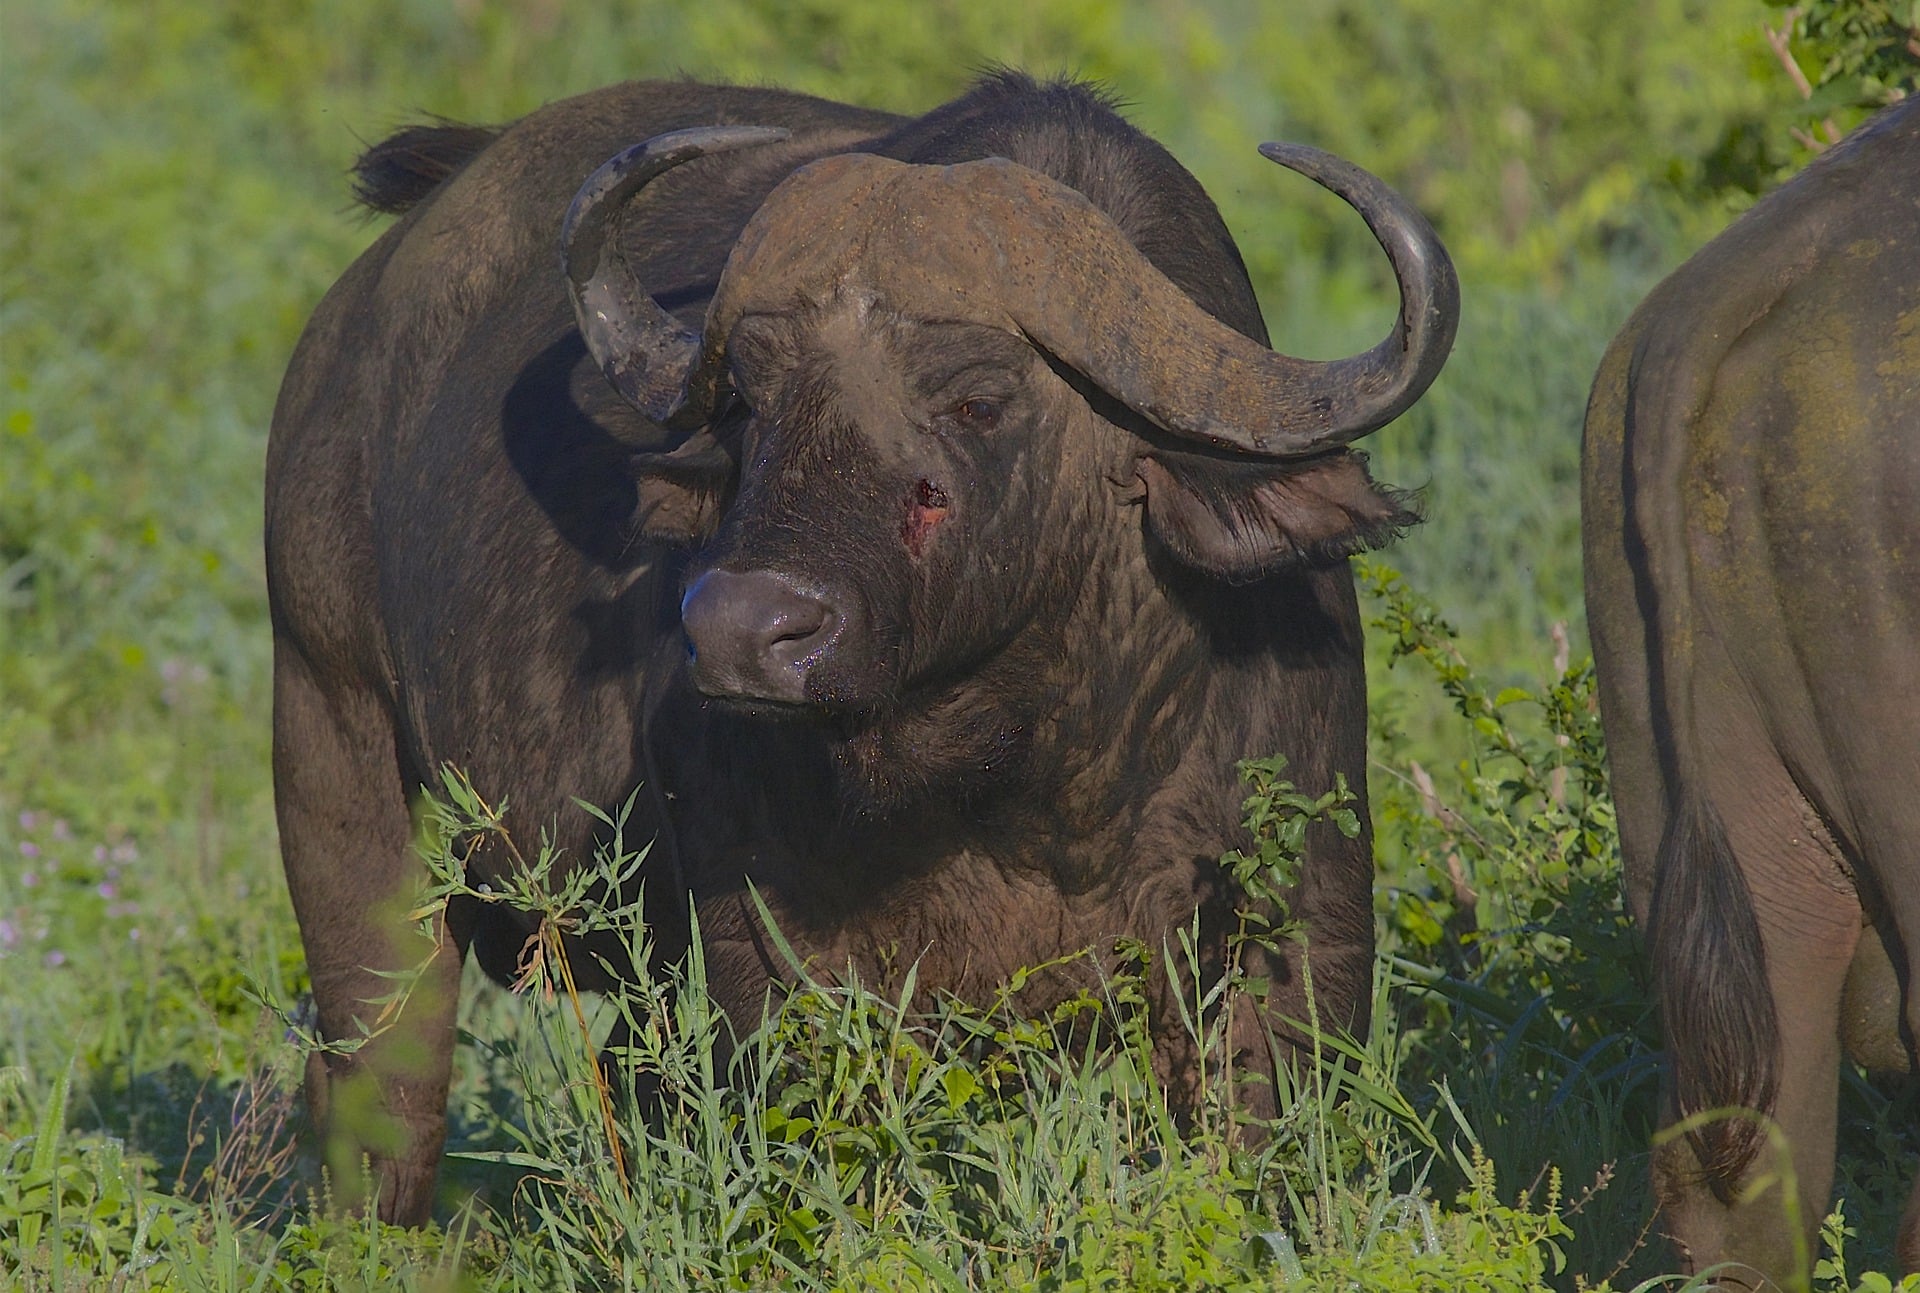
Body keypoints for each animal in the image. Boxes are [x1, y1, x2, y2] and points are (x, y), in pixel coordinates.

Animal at [263, 75, 1443, 1221]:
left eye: (978, 399)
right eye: (751, 398)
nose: (742, 630)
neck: (1028, 783)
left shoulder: (1298, 930)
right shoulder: (769, 952)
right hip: (333, 746)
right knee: (385, 1094)